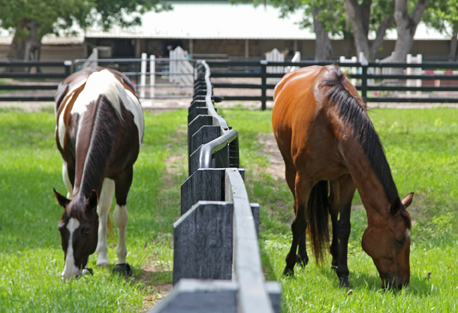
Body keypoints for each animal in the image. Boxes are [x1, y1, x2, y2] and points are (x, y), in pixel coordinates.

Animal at [52, 67, 144, 282]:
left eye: (86, 231)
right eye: (61, 229)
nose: (69, 273)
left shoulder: (124, 173)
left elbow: (119, 216)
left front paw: (121, 262)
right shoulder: (72, 165)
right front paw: (86, 268)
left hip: (109, 175)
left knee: (103, 210)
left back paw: (103, 257)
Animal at [272, 65, 416, 288]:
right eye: (399, 240)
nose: (401, 285)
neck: (331, 117)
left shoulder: (348, 179)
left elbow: (343, 227)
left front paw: (343, 273)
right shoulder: (303, 179)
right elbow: (299, 222)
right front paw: (289, 267)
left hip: (334, 178)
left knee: (332, 206)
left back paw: (333, 259)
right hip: (290, 170)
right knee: (299, 209)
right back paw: (301, 258)